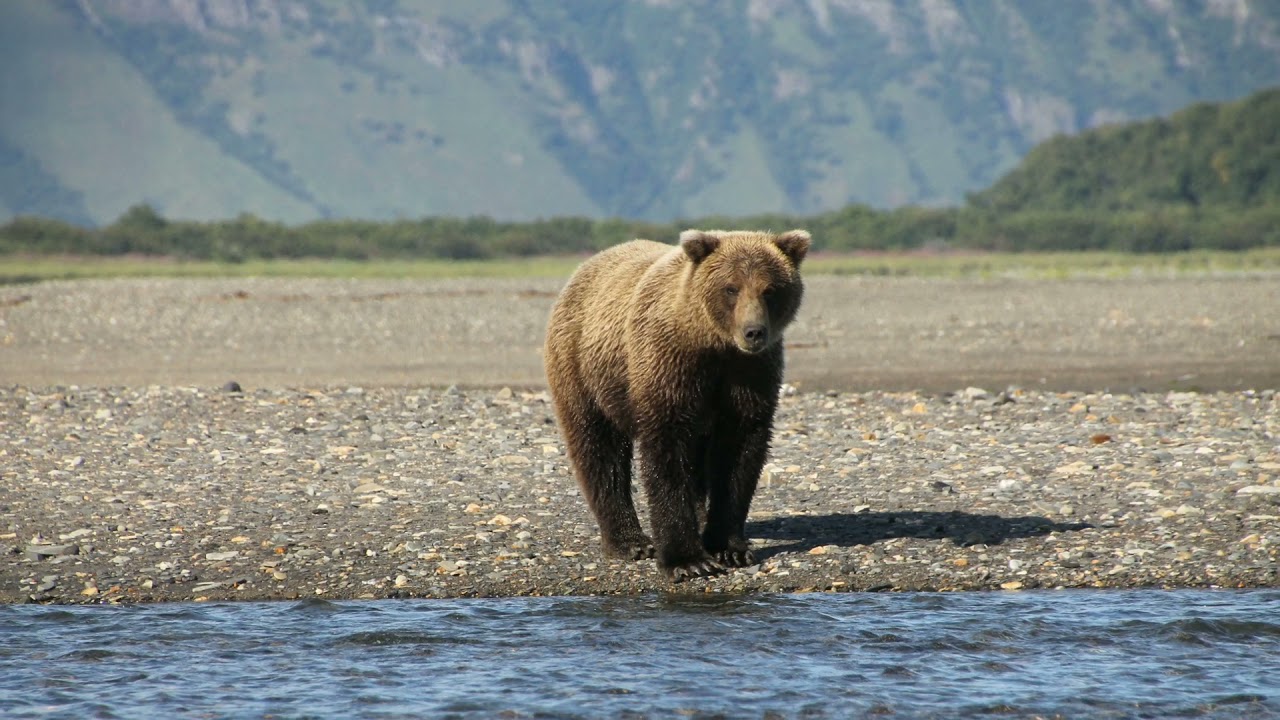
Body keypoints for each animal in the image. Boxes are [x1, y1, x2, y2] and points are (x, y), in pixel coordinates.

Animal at [543, 229, 810, 581]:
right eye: (731, 288)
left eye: (770, 289)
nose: (754, 332)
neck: (713, 344)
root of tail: (584, 268)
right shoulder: (668, 363)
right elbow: (666, 453)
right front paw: (688, 561)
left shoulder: (749, 374)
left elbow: (739, 452)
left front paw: (730, 548)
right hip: (584, 369)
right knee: (599, 449)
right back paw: (630, 542)